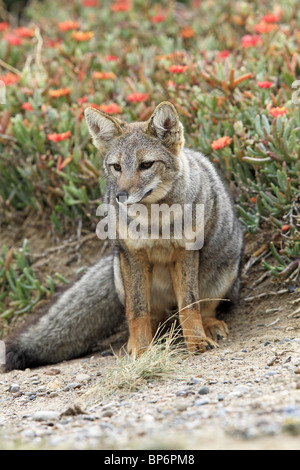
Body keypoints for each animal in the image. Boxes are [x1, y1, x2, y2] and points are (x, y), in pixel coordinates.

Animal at [4, 102, 244, 370]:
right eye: (117, 167)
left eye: (146, 165)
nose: (119, 196)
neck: (155, 223)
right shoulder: (134, 254)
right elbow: (137, 311)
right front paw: (141, 351)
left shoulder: (186, 252)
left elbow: (190, 305)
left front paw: (197, 341)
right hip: (124, 273)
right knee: (149, 316)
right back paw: (139, 341)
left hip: (219, 277)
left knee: (203, 308)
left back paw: (209, 326)